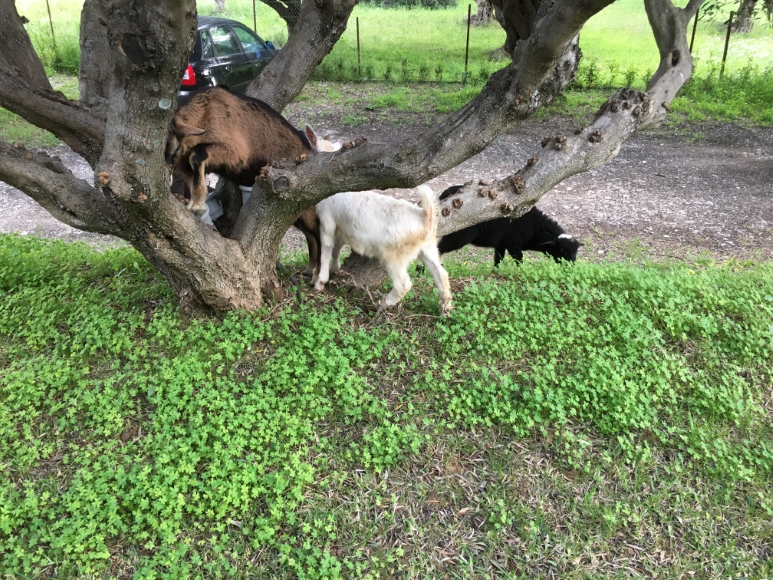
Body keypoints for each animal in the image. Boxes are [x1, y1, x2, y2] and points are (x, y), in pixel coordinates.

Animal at [164, 88, 330, 274]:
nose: (166, 176)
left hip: (306, 203)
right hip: (295, 209)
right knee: (311, 234)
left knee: (318, 232)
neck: (205, 112)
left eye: (173, 148)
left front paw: (196, 206)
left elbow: (196, 154)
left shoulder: (236, 151)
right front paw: (195, 201)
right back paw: (310, 269)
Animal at [310, 186, 450, 314]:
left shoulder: (327, 221)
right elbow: (336, 250)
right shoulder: (340, 229)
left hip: (394, 257)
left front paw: (320, 282)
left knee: (403, 284)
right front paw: (335, 269)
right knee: (441, 274)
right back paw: (445, 308)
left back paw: (383, 303)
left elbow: (326, 250)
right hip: (428, 249)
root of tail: (425, 217)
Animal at [438, 185, 584, 264]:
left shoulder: (501, 243)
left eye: (576, 251)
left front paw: (495, 273)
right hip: (455, 235)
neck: (533, 227)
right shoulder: (513, 244)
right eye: (562, 250)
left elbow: (498, 260)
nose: (571, 266)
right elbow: (519, 260)